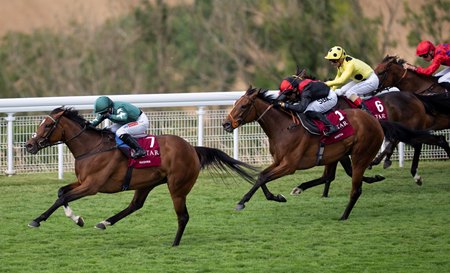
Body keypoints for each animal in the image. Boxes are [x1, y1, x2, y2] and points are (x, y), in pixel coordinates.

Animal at [24, 105, 256, 244]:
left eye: (47, 125)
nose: (29, 145)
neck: (91, 148)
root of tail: (192, 148)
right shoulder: (82, 181)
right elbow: (61, 192)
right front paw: (74, 219)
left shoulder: (92, 186)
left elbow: (62, 198)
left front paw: (40, 220)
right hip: (147, 183)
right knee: (135, 205)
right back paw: (105, 222)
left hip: (178, 187)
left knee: (183, 216)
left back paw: (174, 243)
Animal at [222, 86, 428, 219]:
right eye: (235, 102)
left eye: (243, 106)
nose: (225, 124)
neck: (284, 127)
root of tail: (376, 121)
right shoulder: (279, 161)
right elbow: (261, 176)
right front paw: (276, 197)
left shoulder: (289, 165)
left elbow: (263, 177)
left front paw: (242, 202)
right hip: (341, 154)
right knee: (338, 177)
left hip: (360, 155)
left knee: (355, 187)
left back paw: (344, 215)